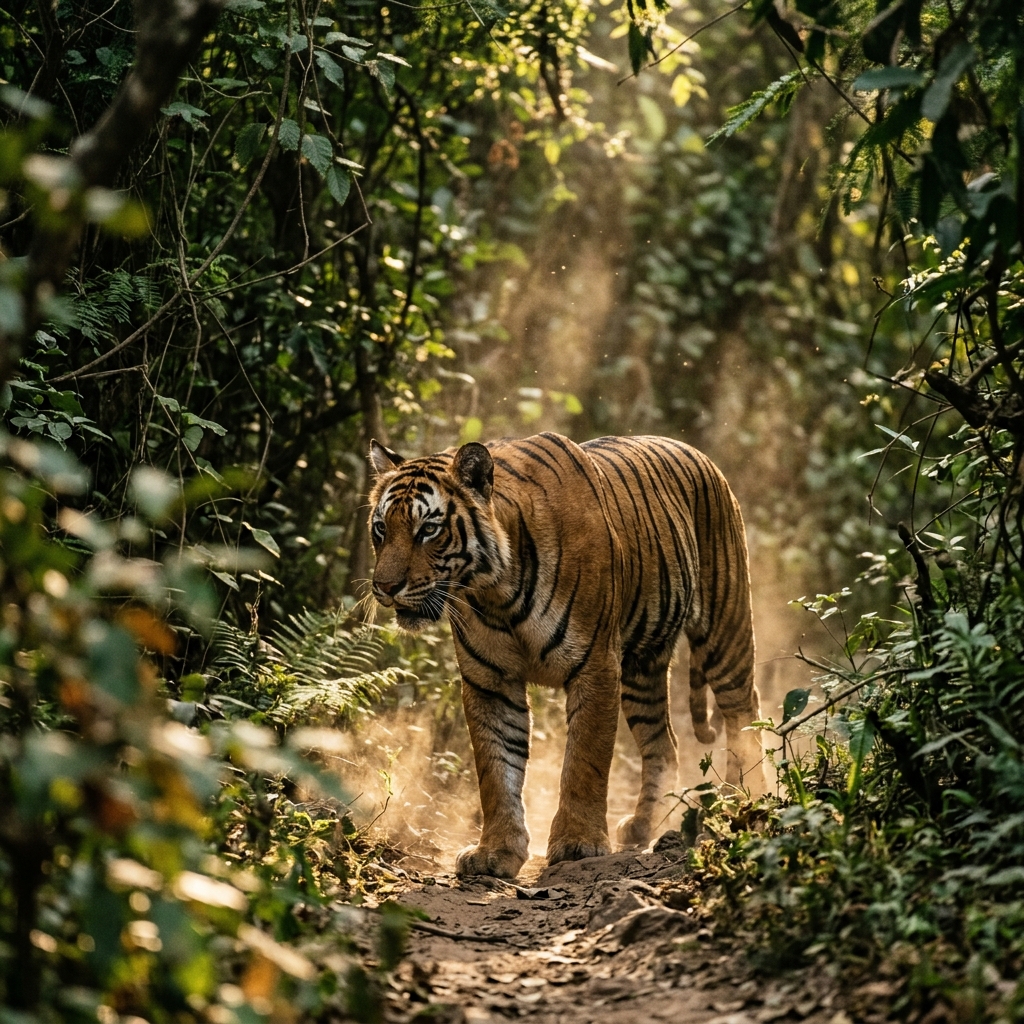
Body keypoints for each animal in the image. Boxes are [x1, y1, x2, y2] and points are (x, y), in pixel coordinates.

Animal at [368, 431, 765, 879]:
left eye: (428, 530)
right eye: (381, 528)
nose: (384, 587)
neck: (495, 591)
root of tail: (695, 451)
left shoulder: (595, 667)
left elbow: (584, 762)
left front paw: (578, 843)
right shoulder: (490, 680)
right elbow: (496, 768)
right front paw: (495, 851)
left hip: (725, 627)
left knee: (744, 713)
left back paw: (746, 801)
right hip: (642, 668)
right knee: (664, 744)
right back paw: (644, 825)